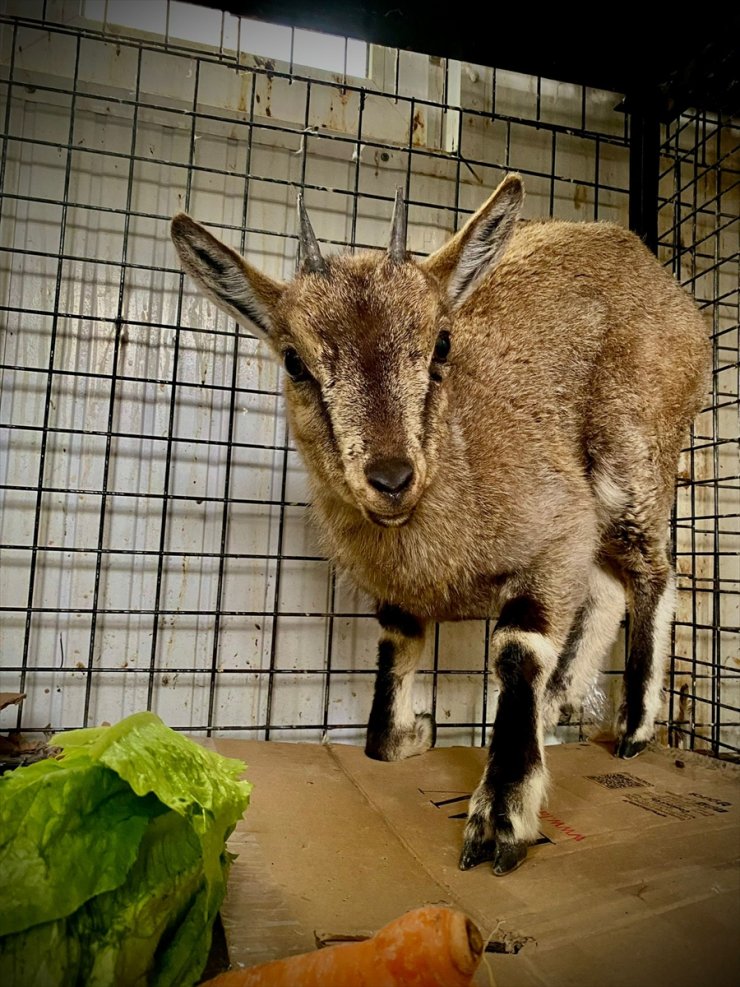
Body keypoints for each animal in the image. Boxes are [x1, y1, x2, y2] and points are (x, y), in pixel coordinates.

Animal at [171, 178, 708, 872]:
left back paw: (635, 725)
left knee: (651, 572)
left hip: (630, 456)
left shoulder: (555, 529)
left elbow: (517, 650)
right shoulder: (405, 594)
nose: (391, 477)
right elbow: (394, 660)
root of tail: (661, 277)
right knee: (609, 585)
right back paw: (561, 700)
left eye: (441, 344)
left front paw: (500, 816)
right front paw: (410, 735)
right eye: (294, 361)